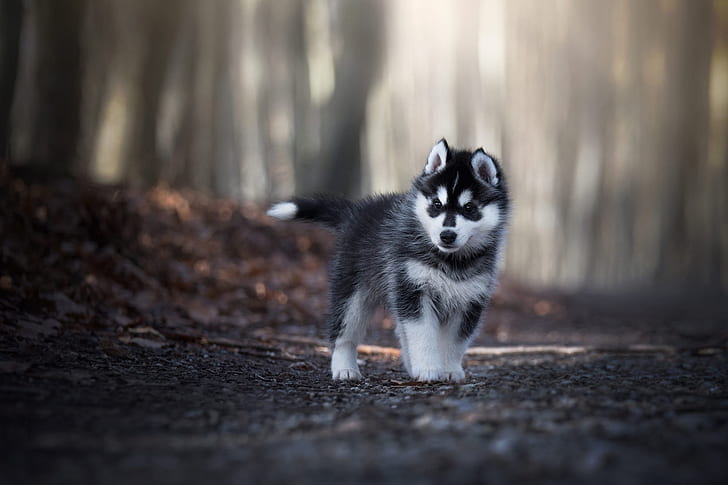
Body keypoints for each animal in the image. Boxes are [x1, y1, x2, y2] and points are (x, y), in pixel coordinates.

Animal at [268, 138, 512, 380]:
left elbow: (455, 342)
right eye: (437, 205)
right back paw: (345, 368)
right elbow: (423, 334)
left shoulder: (470, 300)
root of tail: (357, 210)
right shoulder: (413, 289)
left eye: (469, 208)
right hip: (352, 293)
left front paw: (449, 369)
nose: (447, 235)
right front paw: (428, 369)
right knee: (344, 332)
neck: (451, 261)